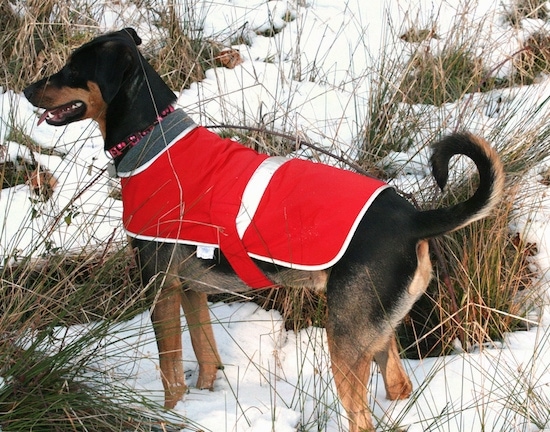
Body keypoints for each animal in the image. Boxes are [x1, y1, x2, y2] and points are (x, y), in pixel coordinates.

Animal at [24, 27, 504, 432]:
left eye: (72, 70)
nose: (27, 90)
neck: (149, 138)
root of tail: (413, 218)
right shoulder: (192, 287)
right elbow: (205, 353)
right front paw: (203, 402)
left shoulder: (160, 284)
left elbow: (171, 369)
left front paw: (171, 414)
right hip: (378, 327)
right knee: (399, 386)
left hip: (345, 336)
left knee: (361, 417)